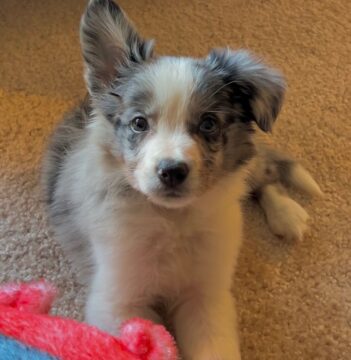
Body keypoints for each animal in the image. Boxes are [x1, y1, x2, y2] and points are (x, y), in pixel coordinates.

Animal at [42, 1, 322, 358]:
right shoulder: (118, 301)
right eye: (139, 123)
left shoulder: (206, 297)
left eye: (208, 124)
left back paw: (287, 215)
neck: (171, 220)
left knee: (263, 176)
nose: (172, 171)